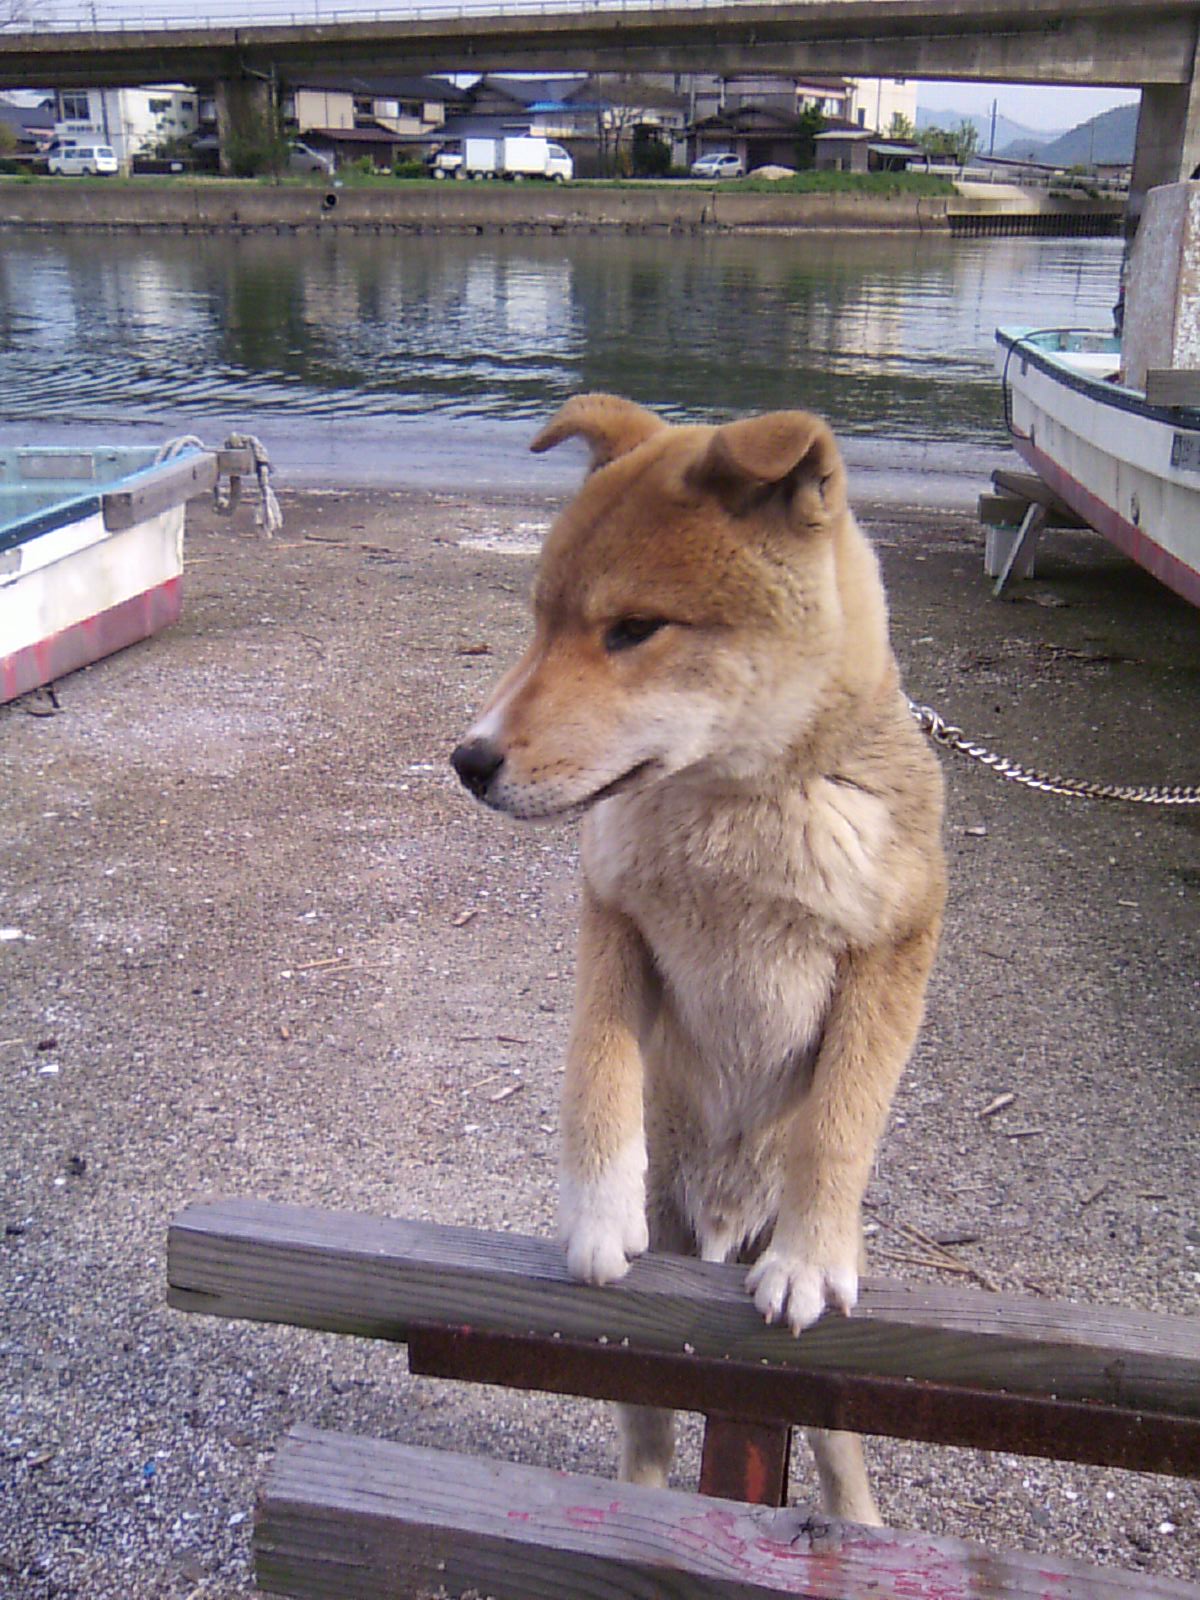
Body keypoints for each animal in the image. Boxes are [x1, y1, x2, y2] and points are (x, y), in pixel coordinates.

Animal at [451, 393, 947, 1516]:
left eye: (634, 629)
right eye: (539, 620)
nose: (468, 759)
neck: (733, 817)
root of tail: (718, 1227)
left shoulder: (894, 952)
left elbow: (839, 1125)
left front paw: (808, 1255)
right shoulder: (614, 922)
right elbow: (595, 1077)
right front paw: (596, 1213)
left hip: (831, 1391)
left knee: (838, 1448)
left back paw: (858, 1525)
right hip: (648, 1354)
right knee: (647, 1438)